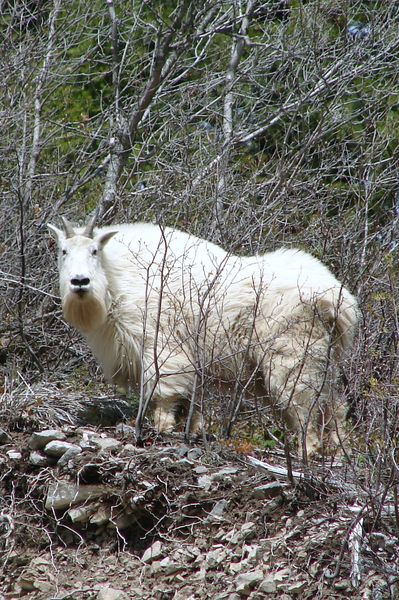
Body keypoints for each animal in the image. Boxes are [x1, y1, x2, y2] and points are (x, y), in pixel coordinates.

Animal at [47, 218, 360, 458]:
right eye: (63, 251)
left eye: (94, 250)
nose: (79, 282)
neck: (117, 280)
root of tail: (336, 300)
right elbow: (192, 401)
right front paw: (194, 429)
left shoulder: (163, 346)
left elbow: (165, 393)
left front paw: (163, 428)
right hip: (324, 358)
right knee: (336, 405)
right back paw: (339, 451)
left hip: (294, 356)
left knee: (305, 405)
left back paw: (307, 451)